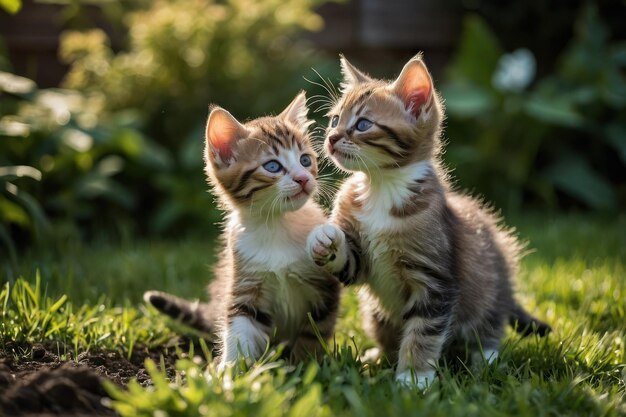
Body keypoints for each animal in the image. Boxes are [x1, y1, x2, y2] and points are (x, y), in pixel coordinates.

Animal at [144, 92, 338, 366]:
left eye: (305, 160)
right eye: (272, 166)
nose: (303, 178)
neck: (276, 224)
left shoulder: (325, 290)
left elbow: (313, 333)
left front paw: (305, 363)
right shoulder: (246, 284)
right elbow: (240, 328)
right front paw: (230, 370)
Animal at [306, 54, 544, 386]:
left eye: (363, 124)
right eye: (334, 119)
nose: (330, 138)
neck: (381, 187)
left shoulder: (435, 280)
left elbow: (423, 332)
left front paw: (414, 379)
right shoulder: (363, 262)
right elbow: (349, 263)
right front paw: (325, 240)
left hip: (490, 287)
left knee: (489, 327)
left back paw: (486, 360)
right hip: (375, 313)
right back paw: (377, 356)